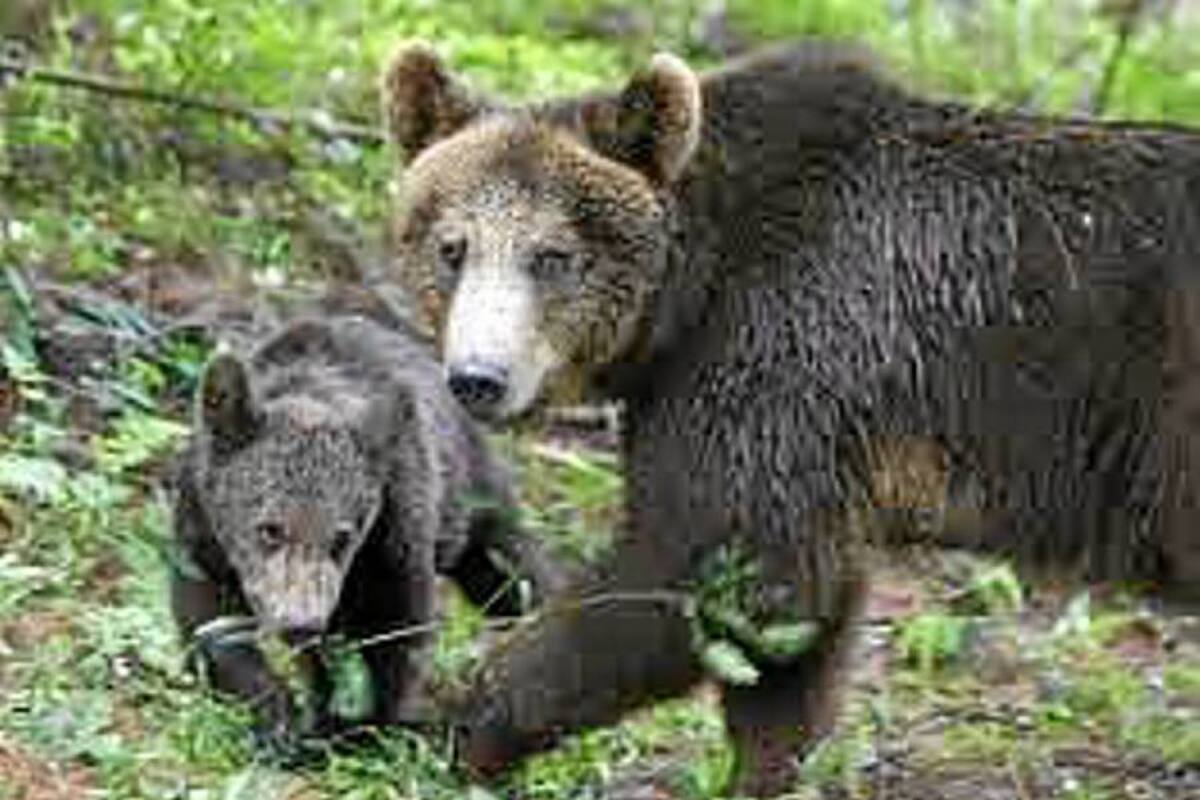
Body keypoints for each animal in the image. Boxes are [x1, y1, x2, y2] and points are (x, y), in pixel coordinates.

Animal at [169, 310, 564, 753]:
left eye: (343, 535)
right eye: (270, 528)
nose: (301, 620)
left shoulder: (394, 532)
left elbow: (396, 632)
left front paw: (366, 727)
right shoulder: (202, 529)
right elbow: (207, 621)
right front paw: (279, 717)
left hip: (471, 493)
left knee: (511, 568)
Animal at [379, 40, 1200, 796]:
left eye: (552, 256)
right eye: (452, 247)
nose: (479, 379)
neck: (692, 294)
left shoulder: (784, 350)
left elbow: (711, 566)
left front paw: (466, 724)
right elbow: (788, 636)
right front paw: (765, 767)